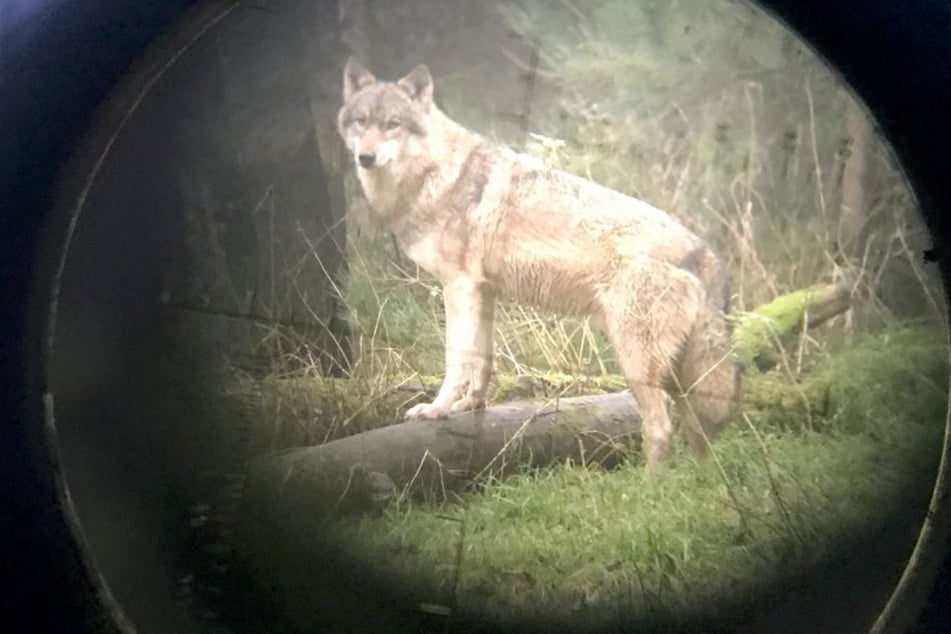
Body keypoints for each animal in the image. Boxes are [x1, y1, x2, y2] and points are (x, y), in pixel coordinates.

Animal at [337, 58, 740, 469]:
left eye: (393, 124)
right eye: (361, 122)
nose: (365, 158)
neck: (437, 174)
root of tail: (705, 251)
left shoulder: (459, 287)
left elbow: (457, 360)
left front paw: (437, 410)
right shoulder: (484, 292)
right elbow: (483, 360)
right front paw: (471, 406)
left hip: (636, 364)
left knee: (662, 429)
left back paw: (649, 484)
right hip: (676, 376)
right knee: (699, 433)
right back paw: (695, 479)